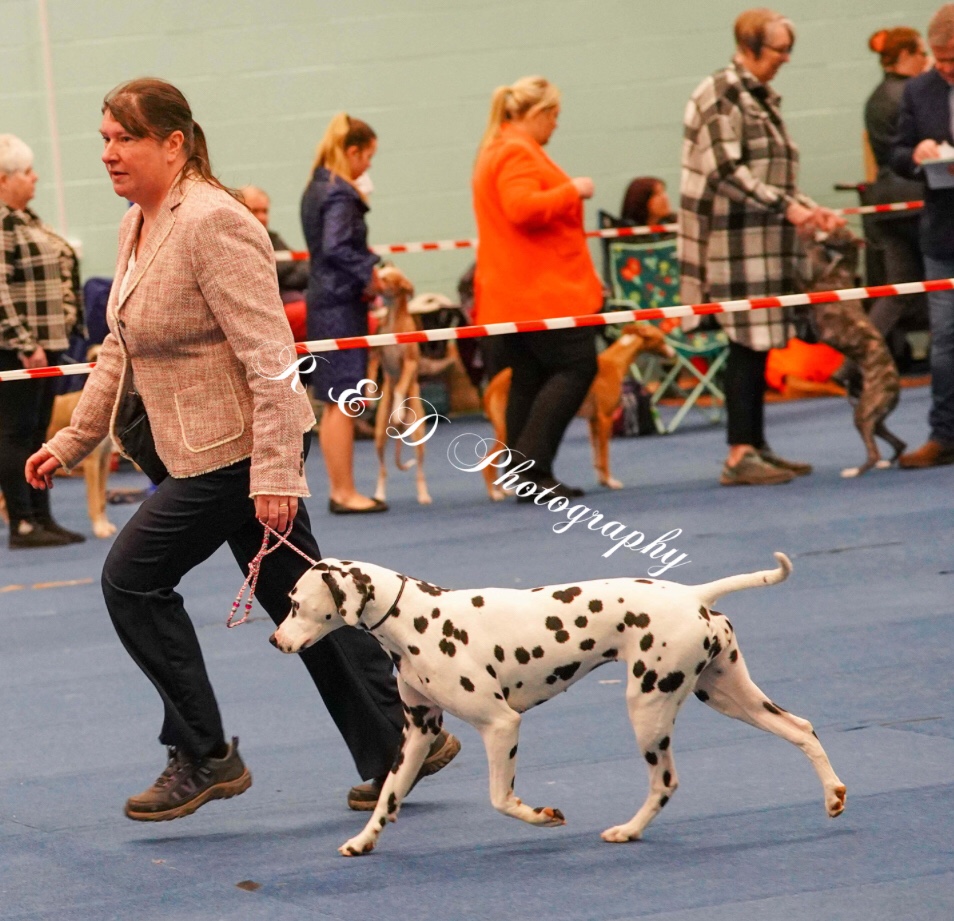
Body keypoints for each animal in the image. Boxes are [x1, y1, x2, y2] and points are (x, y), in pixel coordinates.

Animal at [270, 554, 846, 855]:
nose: (275, 641)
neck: (414, 618)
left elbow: (501, 799)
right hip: (728, 695)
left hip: (648, 707)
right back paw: (834, 796)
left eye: (295, 603)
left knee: (665, 782)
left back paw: (628, 830)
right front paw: (363, 840)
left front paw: (543, 817)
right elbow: (389, 796)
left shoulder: (500, 726)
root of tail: (692, 594)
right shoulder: (417, 732)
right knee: (802, 729)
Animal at [371, 265, 433, 505]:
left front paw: (398, 410)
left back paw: (424, 495)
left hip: (419, 436)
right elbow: (372, 368)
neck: (391, 321)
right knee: (383, 470)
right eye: (379, 272)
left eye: (387, 279)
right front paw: (369, 392)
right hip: (379, 436)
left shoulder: (409, 364)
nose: (373, 278)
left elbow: (399, 387)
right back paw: (379, 494)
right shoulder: (376, 354)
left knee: (420, 471)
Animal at [481, 324, 673, 499]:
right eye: (661, 339)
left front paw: (603, 481)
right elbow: (604, 457)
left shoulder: (593, 421)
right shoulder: (605, 419)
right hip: (503, 430)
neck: (615, 362)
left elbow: (596, 457)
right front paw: (611, 482)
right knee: (486, 461)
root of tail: (492, 385)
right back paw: (495, 494)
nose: (673, 355)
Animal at [802, 228, 906, 477]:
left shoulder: (814, 286)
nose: (819, 231)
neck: (842, 270)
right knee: (899, 444)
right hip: (875, 419)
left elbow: (805, 271)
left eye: (837, 233)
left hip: (863, 415)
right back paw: (886, 463)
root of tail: (895, 387)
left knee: (874, 452)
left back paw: (855, 471)